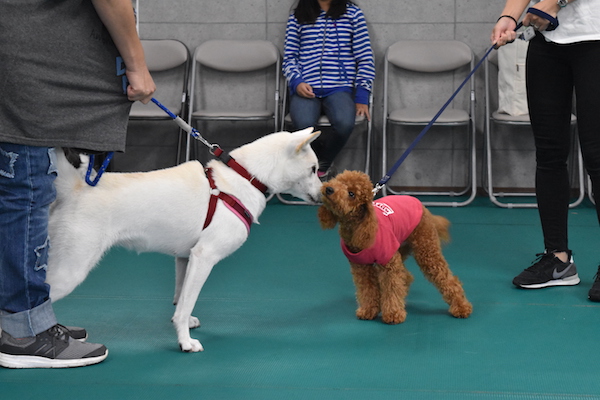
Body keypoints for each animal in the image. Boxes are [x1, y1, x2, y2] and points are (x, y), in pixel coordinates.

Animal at [47, 126, 322, 352]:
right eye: (314, 169)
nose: (324, 193)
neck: (244, 177)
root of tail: (75, 189)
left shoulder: (185, 259)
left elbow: (180, 299)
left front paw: (186, 324)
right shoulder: (204, 257)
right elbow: (187, 303)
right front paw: (185, 342)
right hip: (71, 270)